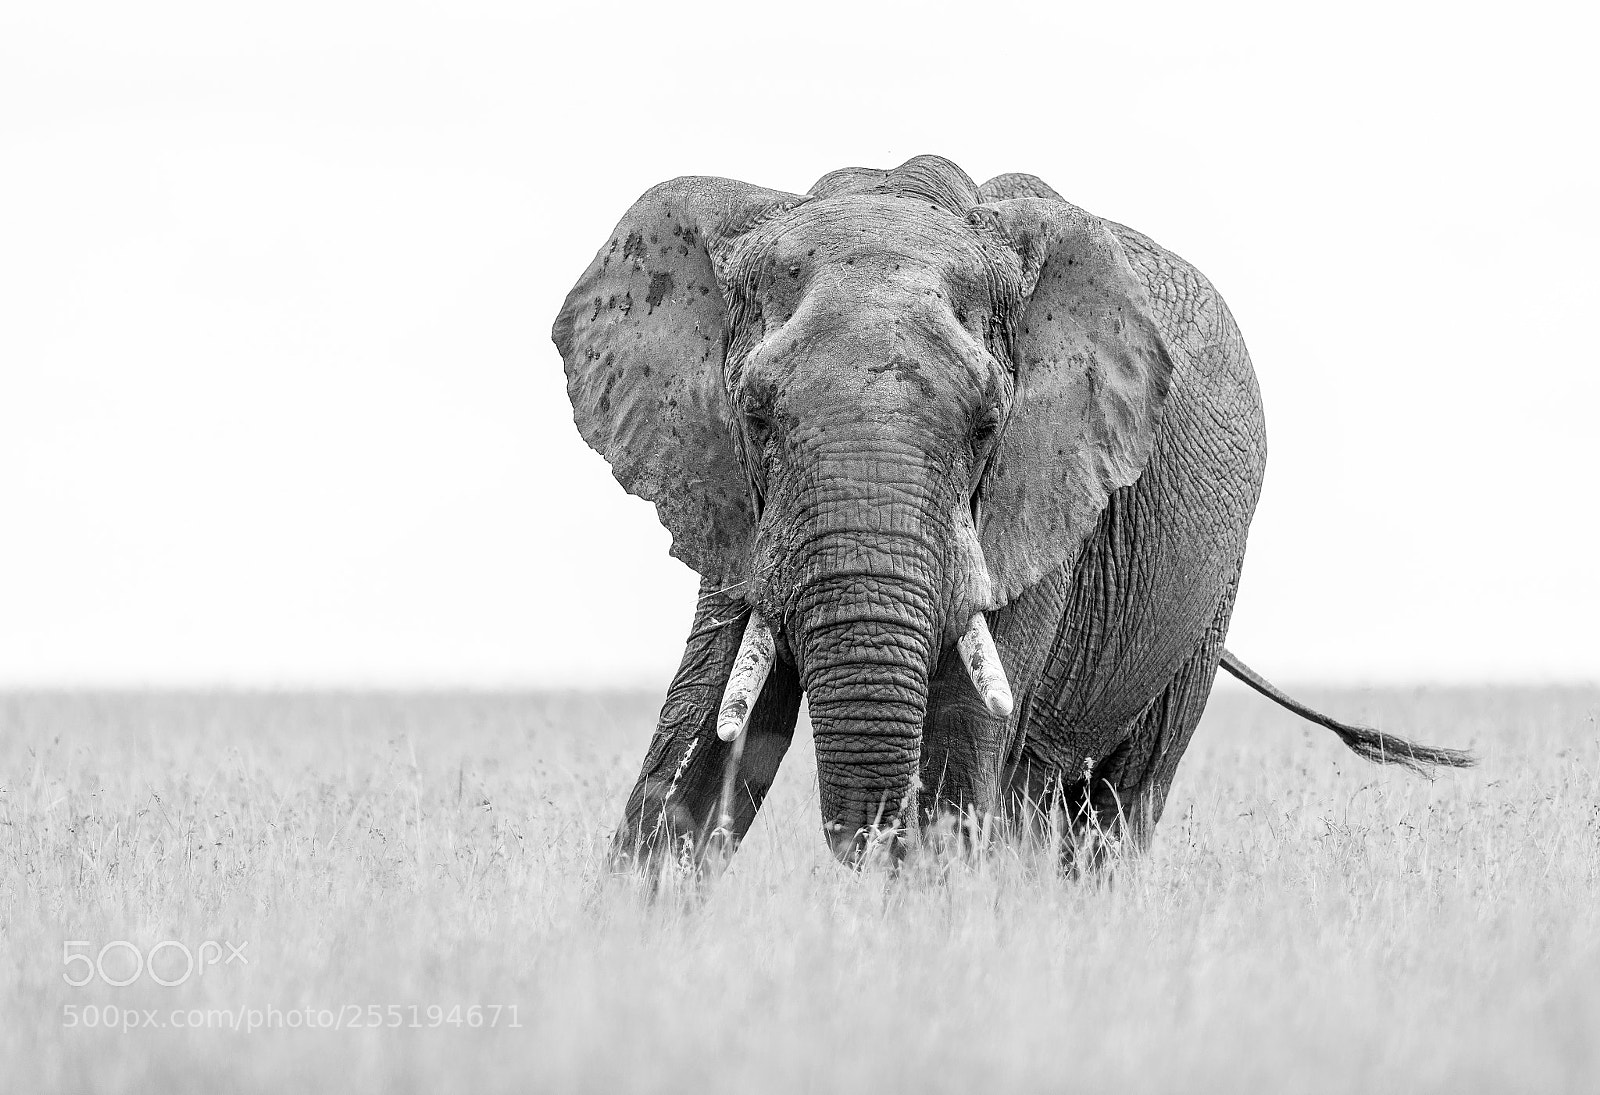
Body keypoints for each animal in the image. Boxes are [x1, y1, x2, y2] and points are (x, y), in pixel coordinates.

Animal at [552, 154, 1472, 873]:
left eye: (987, 424)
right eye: (755, 416)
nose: (861, 848)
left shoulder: (1041, 492)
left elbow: (959, 758)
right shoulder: (732, 501)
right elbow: (695, 739)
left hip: (1210, 588)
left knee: (1116, 803)